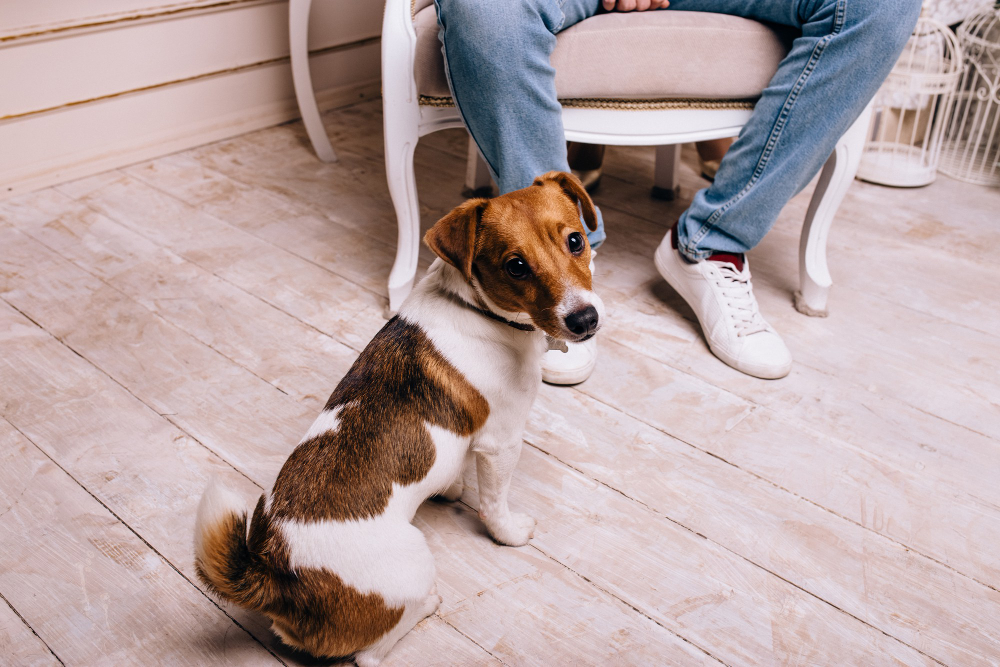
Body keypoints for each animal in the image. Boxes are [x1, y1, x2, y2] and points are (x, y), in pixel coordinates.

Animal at [192, 171, 604, 664]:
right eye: (516, 266)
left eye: (576, 240)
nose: (585, 320)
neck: (475, 307)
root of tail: (275, 576)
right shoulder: (501, 442)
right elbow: (494, 503)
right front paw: (509, 532)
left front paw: (451, 487)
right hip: (413, 559)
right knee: (371, 654)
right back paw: (427, 604)